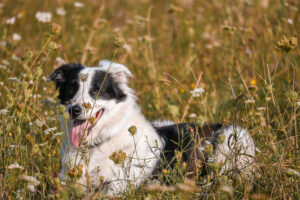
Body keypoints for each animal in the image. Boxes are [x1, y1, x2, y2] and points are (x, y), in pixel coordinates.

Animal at [49, 60, 255, 195]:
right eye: (71, 90)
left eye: (96, 91)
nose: (74, 110)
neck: (97, 145)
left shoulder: (117, 189)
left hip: (232, 138)